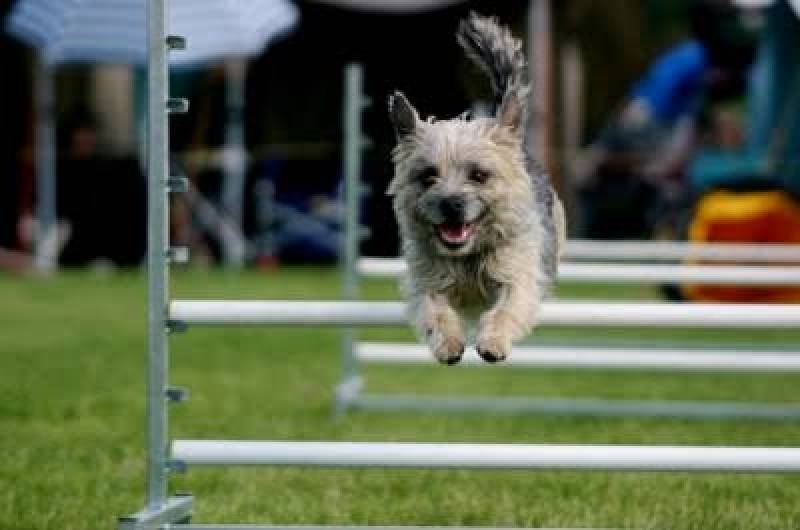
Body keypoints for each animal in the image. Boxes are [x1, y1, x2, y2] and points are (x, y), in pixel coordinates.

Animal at [386, 14, 564, 366]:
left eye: (479, 174)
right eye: (428, 176)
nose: (451, 204)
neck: (467, 256)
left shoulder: (519, 273)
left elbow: (508, 306)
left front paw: (493, 340)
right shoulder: (426, 279)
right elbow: (434, 309)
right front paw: (448, 344)